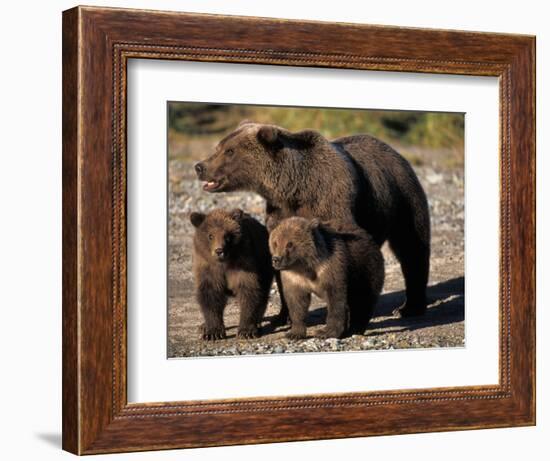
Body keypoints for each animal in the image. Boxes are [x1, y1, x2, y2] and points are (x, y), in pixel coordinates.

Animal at [191, 208, 274, 338]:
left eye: (227, 236)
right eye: (210, 235)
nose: (219, 251)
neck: (224, 263)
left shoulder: (243, 263)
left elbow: (248, 290)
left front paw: (246, 331)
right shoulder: (208, 268)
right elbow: (210, 294)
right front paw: (212, 332)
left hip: (264, 262)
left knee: (263, 292)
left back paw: (257, 322)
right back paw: (203, 326)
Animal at [194, 122, 432, 324]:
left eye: (229, 151)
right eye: (219, 146)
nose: (199, 166)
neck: (295, 189)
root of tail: (395, 151)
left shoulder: (332, 203)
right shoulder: (279, 215)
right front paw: (284, 315)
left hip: (403, 196)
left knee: (412, 248)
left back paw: (409, 307)